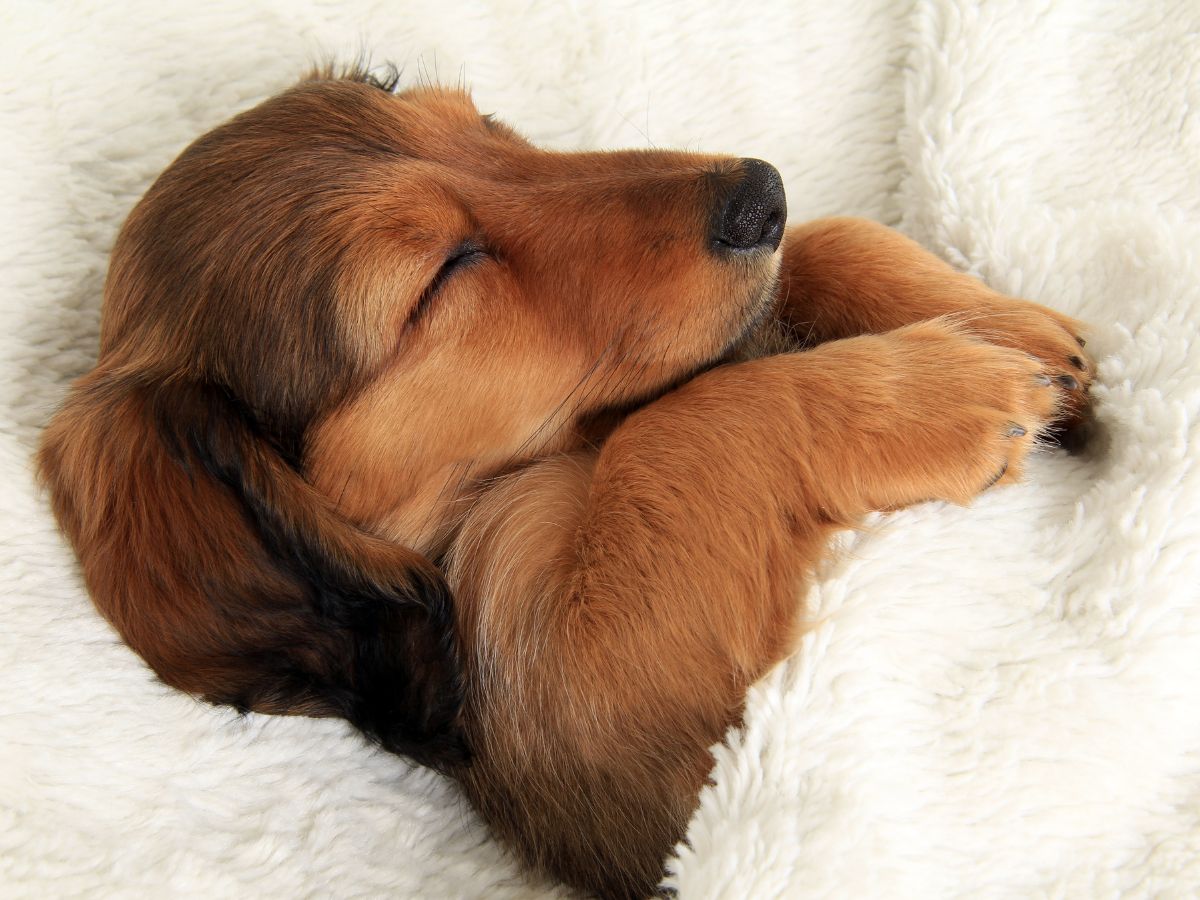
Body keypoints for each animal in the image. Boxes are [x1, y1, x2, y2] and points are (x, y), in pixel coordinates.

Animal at [37, 68, 1094, 900]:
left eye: (480, 123)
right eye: (438, 279)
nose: (762, 194)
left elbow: (827, 245)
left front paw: (999, 321)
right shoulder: (603, 719)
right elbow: (676, 427)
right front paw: (943, 389)